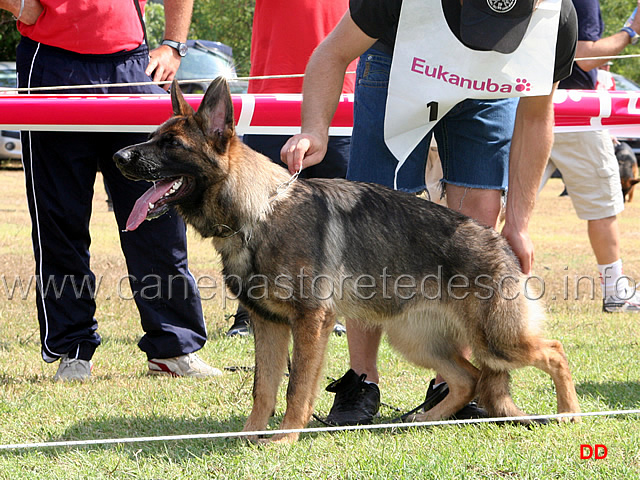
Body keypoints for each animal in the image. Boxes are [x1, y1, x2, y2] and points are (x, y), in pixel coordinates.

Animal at [114, 78, 580, 442]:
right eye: (153, 136)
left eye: (172, 144)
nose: (118, 157)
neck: (257, 211)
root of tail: (498, 240)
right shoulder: (268, 325)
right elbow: (263, 388)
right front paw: (249, 435)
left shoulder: (310, 323)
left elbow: (297, 388)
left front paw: (284, 438)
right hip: (414, 339)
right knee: (469, 378)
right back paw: (424, 419)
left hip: (495, 340)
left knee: (553, 352)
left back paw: (569, 413)